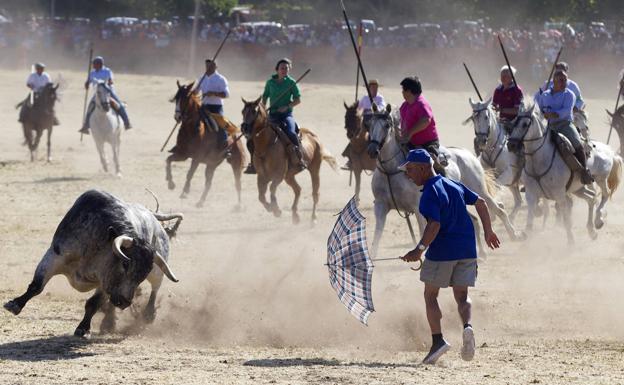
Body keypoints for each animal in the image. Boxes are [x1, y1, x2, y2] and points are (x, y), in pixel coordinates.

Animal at [3, 189, 183, 336]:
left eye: (143, 273)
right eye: (125, 264)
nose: (125, 302)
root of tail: (152, 215)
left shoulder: (104, 281)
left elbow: (93, 303)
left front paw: (83, 328)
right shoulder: (54, 256)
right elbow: (36, 285)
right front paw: (15, 304)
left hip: (158, 269)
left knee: (155, 287)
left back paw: (147, 314)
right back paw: (109, 323)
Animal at [166, 79, 246, 208]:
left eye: (186, 98)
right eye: (176, 98)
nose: (177, 116)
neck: (191, 130)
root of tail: (234, 134)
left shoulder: (197, 158)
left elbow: (190, 173)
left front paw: (185, 191)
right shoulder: (183, 154)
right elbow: (168, 161)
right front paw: (171, 183)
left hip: (235, 162)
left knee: (237, 182)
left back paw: (239, 206)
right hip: (212, 164)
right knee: (209, 182)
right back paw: (200, 201)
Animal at [240, 96, 336, 224]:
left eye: (254, 111)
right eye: (243, 111)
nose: (244, 127)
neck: (266, 145)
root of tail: (314, 137)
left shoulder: (278, 175)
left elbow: (272, 189)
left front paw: (276, 210)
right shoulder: (262, 176)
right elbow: (261, 196)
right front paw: (271, 208)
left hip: (314, 169)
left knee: (315, 193)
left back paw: (313, 219)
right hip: (289, 176)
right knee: (298, 189)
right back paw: (295, 215)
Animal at [366, 103, 520, 256]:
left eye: (387, 125)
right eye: (369, 124)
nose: (372, 150)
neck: (391, 171)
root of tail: (467, 153)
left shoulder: (417, 208)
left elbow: (423, 234)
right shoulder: (380, 206)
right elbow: (377, 237)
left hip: (479, 191)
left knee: (499, 210)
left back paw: (513, 235)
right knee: (475, 220)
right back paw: (481, 254)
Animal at [508, 103, 620, 240]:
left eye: (525, 124)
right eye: (513, 123)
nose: (511, 145)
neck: (538, 161)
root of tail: (609, 150)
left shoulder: (560, 194)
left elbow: (566, 218)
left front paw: (570, 240)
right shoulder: (531, 194)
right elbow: (530, 221)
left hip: (601, 178)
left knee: (605, 194)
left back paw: (599, 220)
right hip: (578, 188)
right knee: (591, 198)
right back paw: (591, 230)